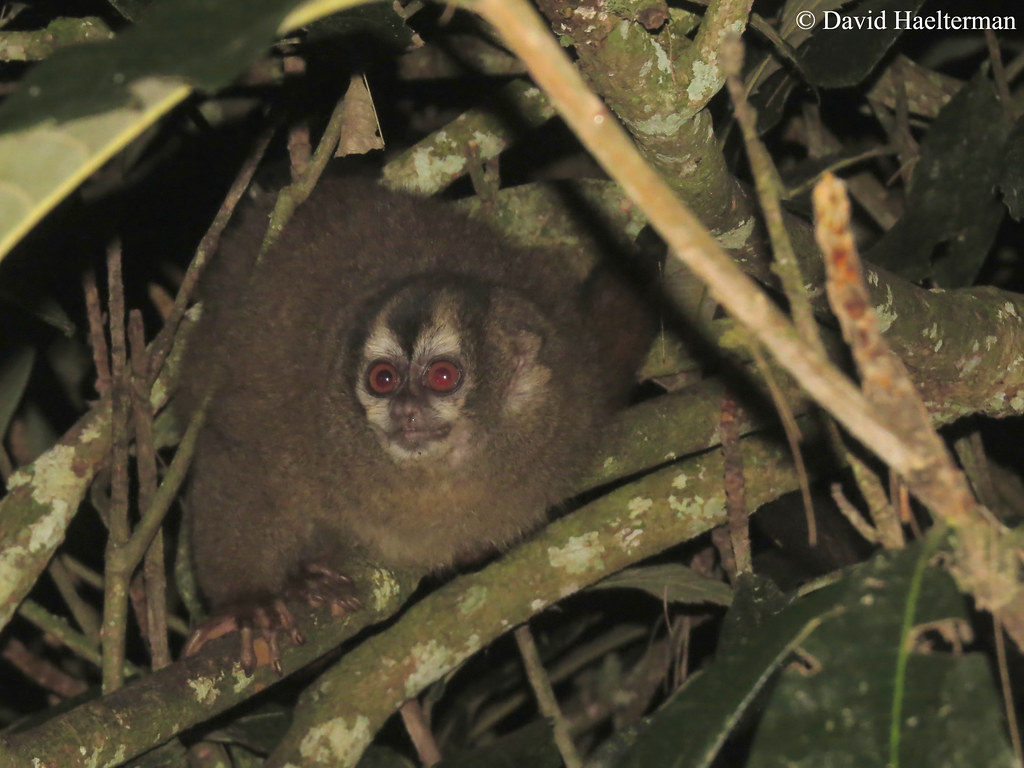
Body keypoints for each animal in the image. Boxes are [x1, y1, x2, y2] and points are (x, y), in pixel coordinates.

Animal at [179, 176, 649, 671]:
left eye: (441, 376)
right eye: (383, 379)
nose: (404, 410)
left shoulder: (576, 391)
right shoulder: (286, 411)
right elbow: (236, 454)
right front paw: (247, 603)